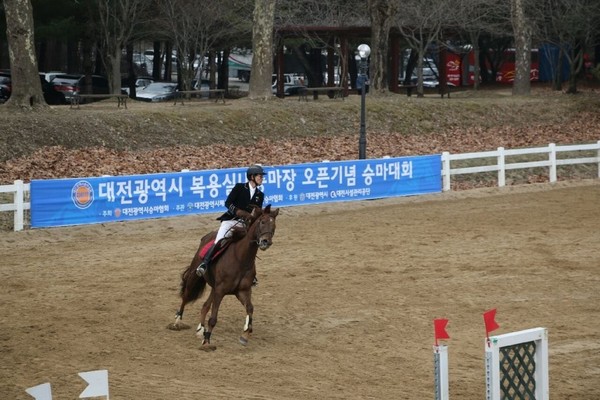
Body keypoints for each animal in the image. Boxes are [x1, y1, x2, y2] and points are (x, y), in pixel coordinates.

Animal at [169, 205, 278, 348]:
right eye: (262, 222)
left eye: (274, 225)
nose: (266, 242)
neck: (241, 259)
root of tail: (207, 237)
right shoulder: (220, 291)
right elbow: (213, 318)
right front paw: (207, 342)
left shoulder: (242, 291)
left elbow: (250, 308)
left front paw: (245, 334)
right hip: (195, 275)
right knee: (186, 295)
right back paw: (177, 321)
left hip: (214, 287)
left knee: (205, 306)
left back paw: (200, 329)